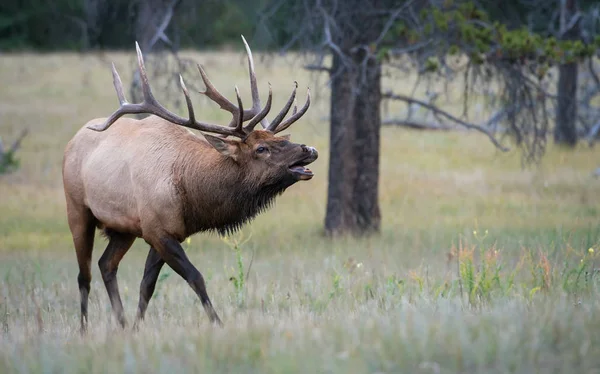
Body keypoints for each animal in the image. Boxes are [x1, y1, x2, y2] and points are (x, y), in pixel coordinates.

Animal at [63, 36, 318, 332]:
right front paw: (218, 323)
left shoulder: (165, 230)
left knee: (106, 264)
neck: (190, 194)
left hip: (122, 228)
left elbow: (146, 286)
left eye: (280, 139)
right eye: (261, 148)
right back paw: (84, 330)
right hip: (77, 209)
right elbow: (195, 277)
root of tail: (71, 142)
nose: (309, 149)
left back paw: (122, 324)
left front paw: (137, 328)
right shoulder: (157, 230)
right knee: (84, 275)